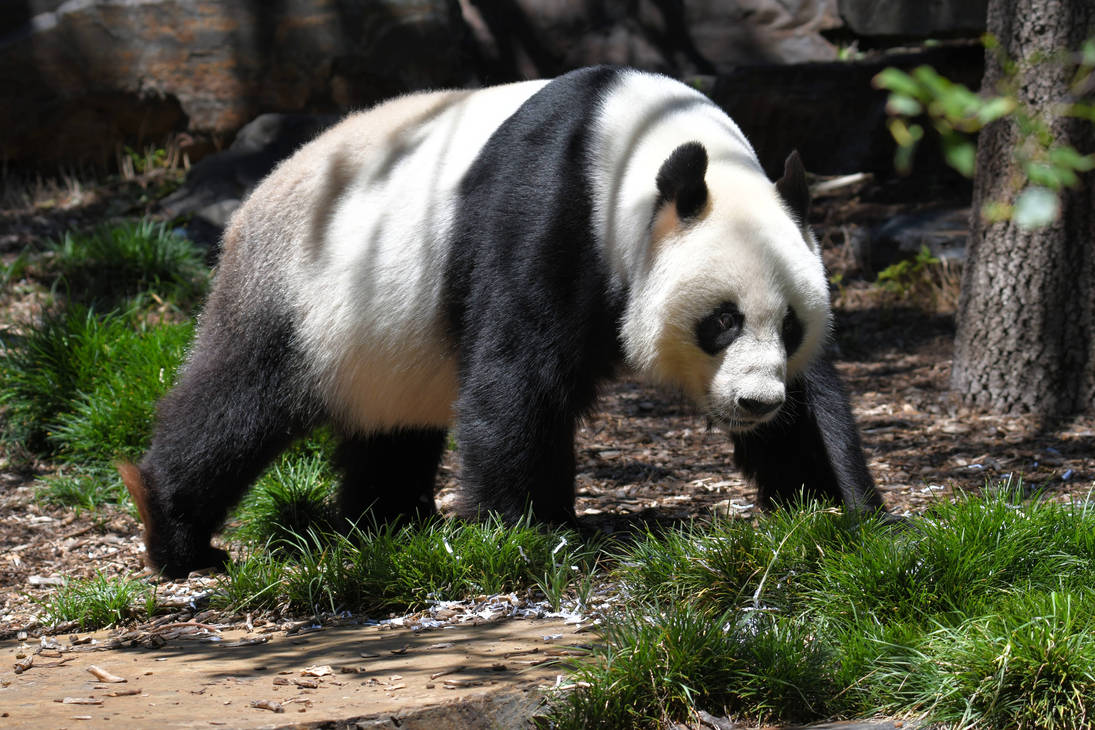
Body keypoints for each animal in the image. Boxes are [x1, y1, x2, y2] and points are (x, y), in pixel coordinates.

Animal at [120, 66, 887, 578]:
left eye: (788, 327)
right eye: (720, 321)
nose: (755, 402)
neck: (649, 145)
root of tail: (256, 196)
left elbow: (814, 405)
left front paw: (846, 510)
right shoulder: (551, 206)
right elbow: (518, 373)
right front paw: (525, 534)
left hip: (383, 339)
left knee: (393, 428)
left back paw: (391, 522)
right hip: (299, 288)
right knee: (238, 399)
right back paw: (178, 534)